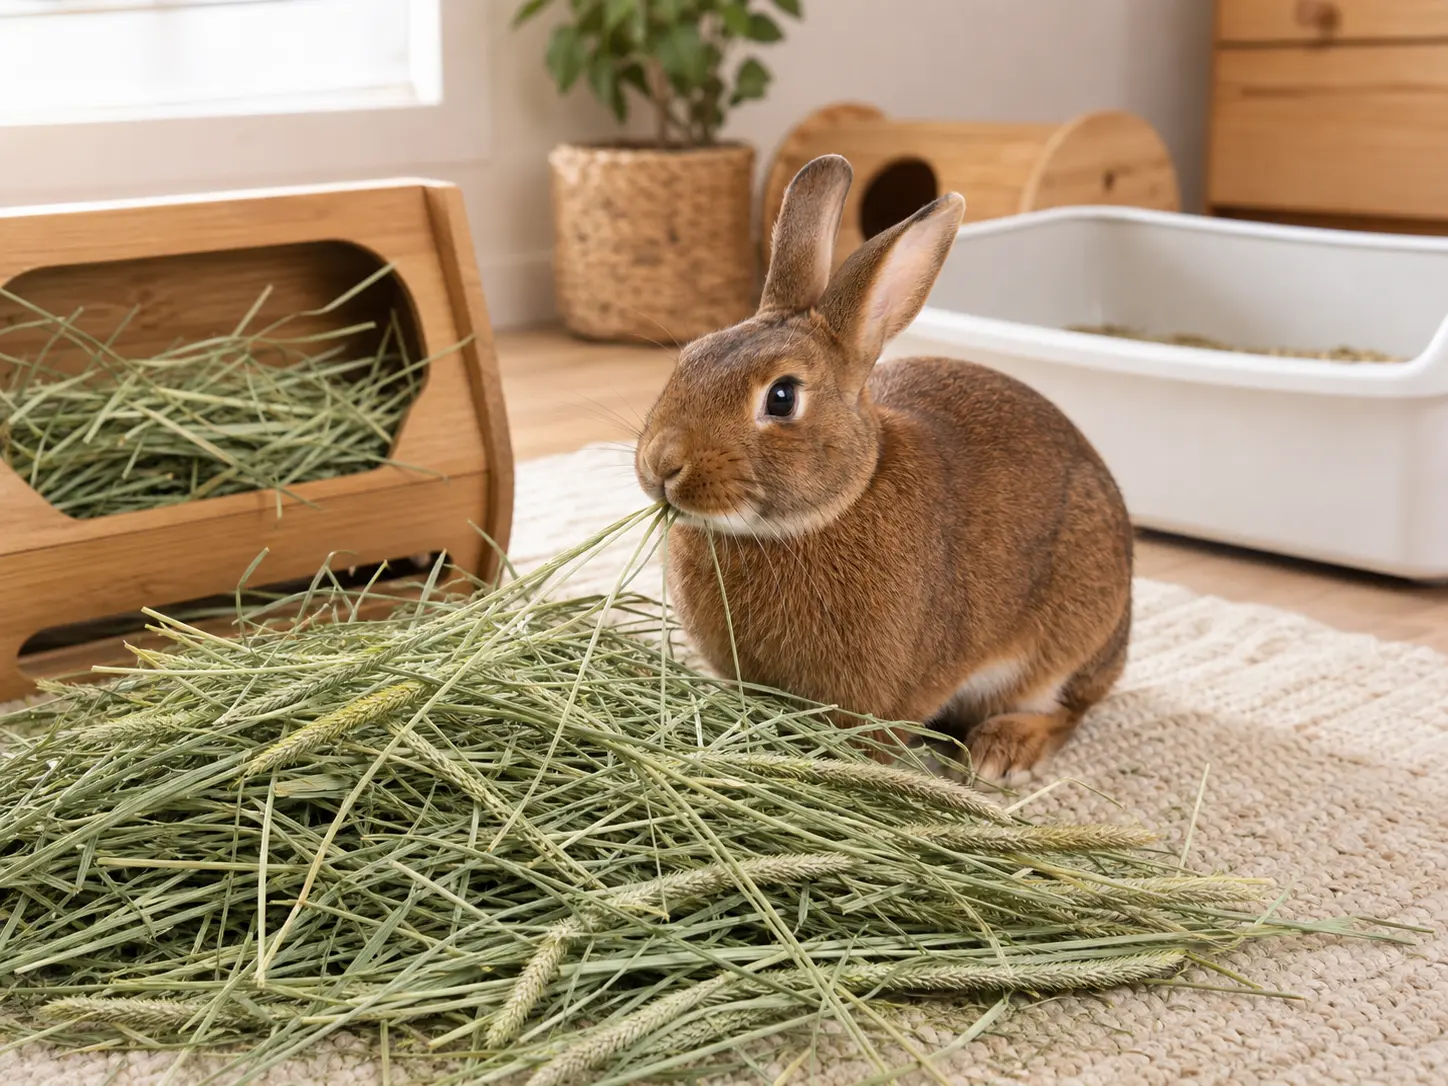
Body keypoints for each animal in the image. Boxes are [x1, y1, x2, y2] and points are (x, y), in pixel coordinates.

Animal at [634, 154, 1133, 786]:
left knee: (1069, 709)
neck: (837, 503)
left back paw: (1000, 753)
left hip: (1071, 637)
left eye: (781, 397)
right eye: (690, 357)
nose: (662, 464)